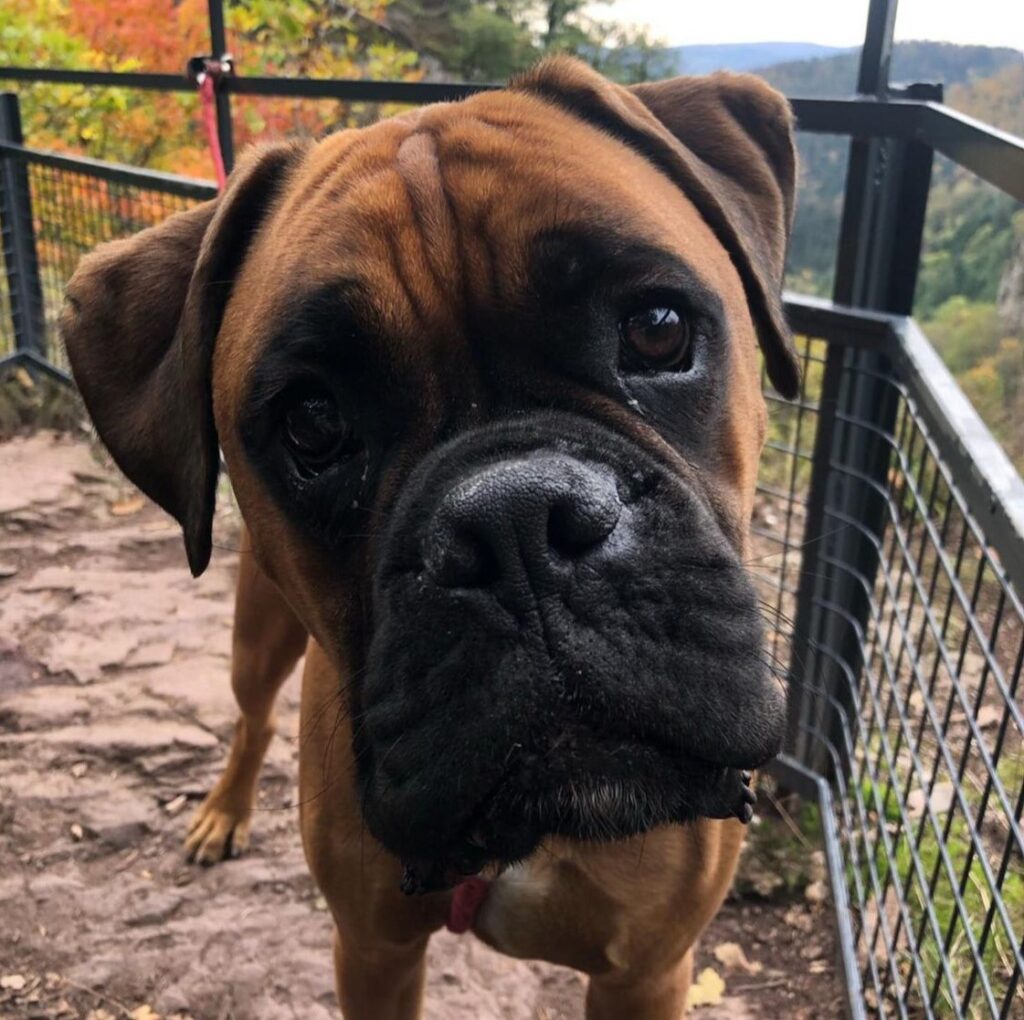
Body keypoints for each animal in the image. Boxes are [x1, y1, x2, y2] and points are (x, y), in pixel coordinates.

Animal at [61, 59, 798, 1015]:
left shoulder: (649, 970)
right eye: (311, 420)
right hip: (257, 637)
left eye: (658, 328)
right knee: (253, 719)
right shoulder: (374, 951)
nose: (516, 517)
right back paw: (224, 811)